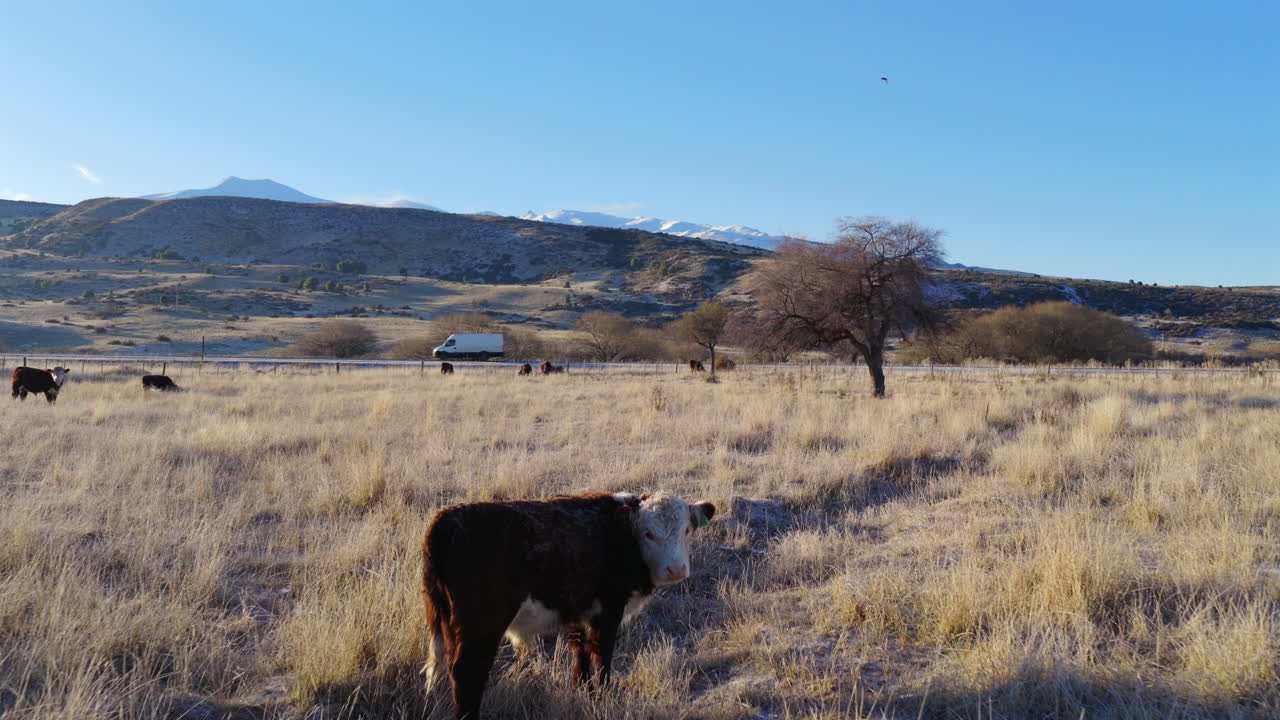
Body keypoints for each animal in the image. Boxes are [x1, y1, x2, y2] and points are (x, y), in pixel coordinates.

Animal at [422, 492, 716, 720]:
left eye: (687, 530)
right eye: (649, 534)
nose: (676, 570)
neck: (621, 537)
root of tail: (444, 521)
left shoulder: (577, 611)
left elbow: (580, 652)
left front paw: (582, 690)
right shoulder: (609, 611)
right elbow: (601, 655)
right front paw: (603, 695)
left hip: (450, 624)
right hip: (481, 627)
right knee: (467, 672)